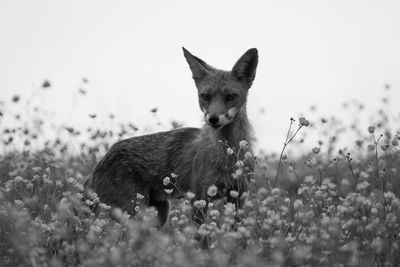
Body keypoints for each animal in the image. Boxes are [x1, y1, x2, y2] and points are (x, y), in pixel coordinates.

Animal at [85, 47, 260, 229]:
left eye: (230, 96)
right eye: (205, 96)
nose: (213, 118)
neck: (228, 155)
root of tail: (99, 164)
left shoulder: (238, 197)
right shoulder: (199, 199)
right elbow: (200, 235)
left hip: (160, 214)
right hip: (134, 211)